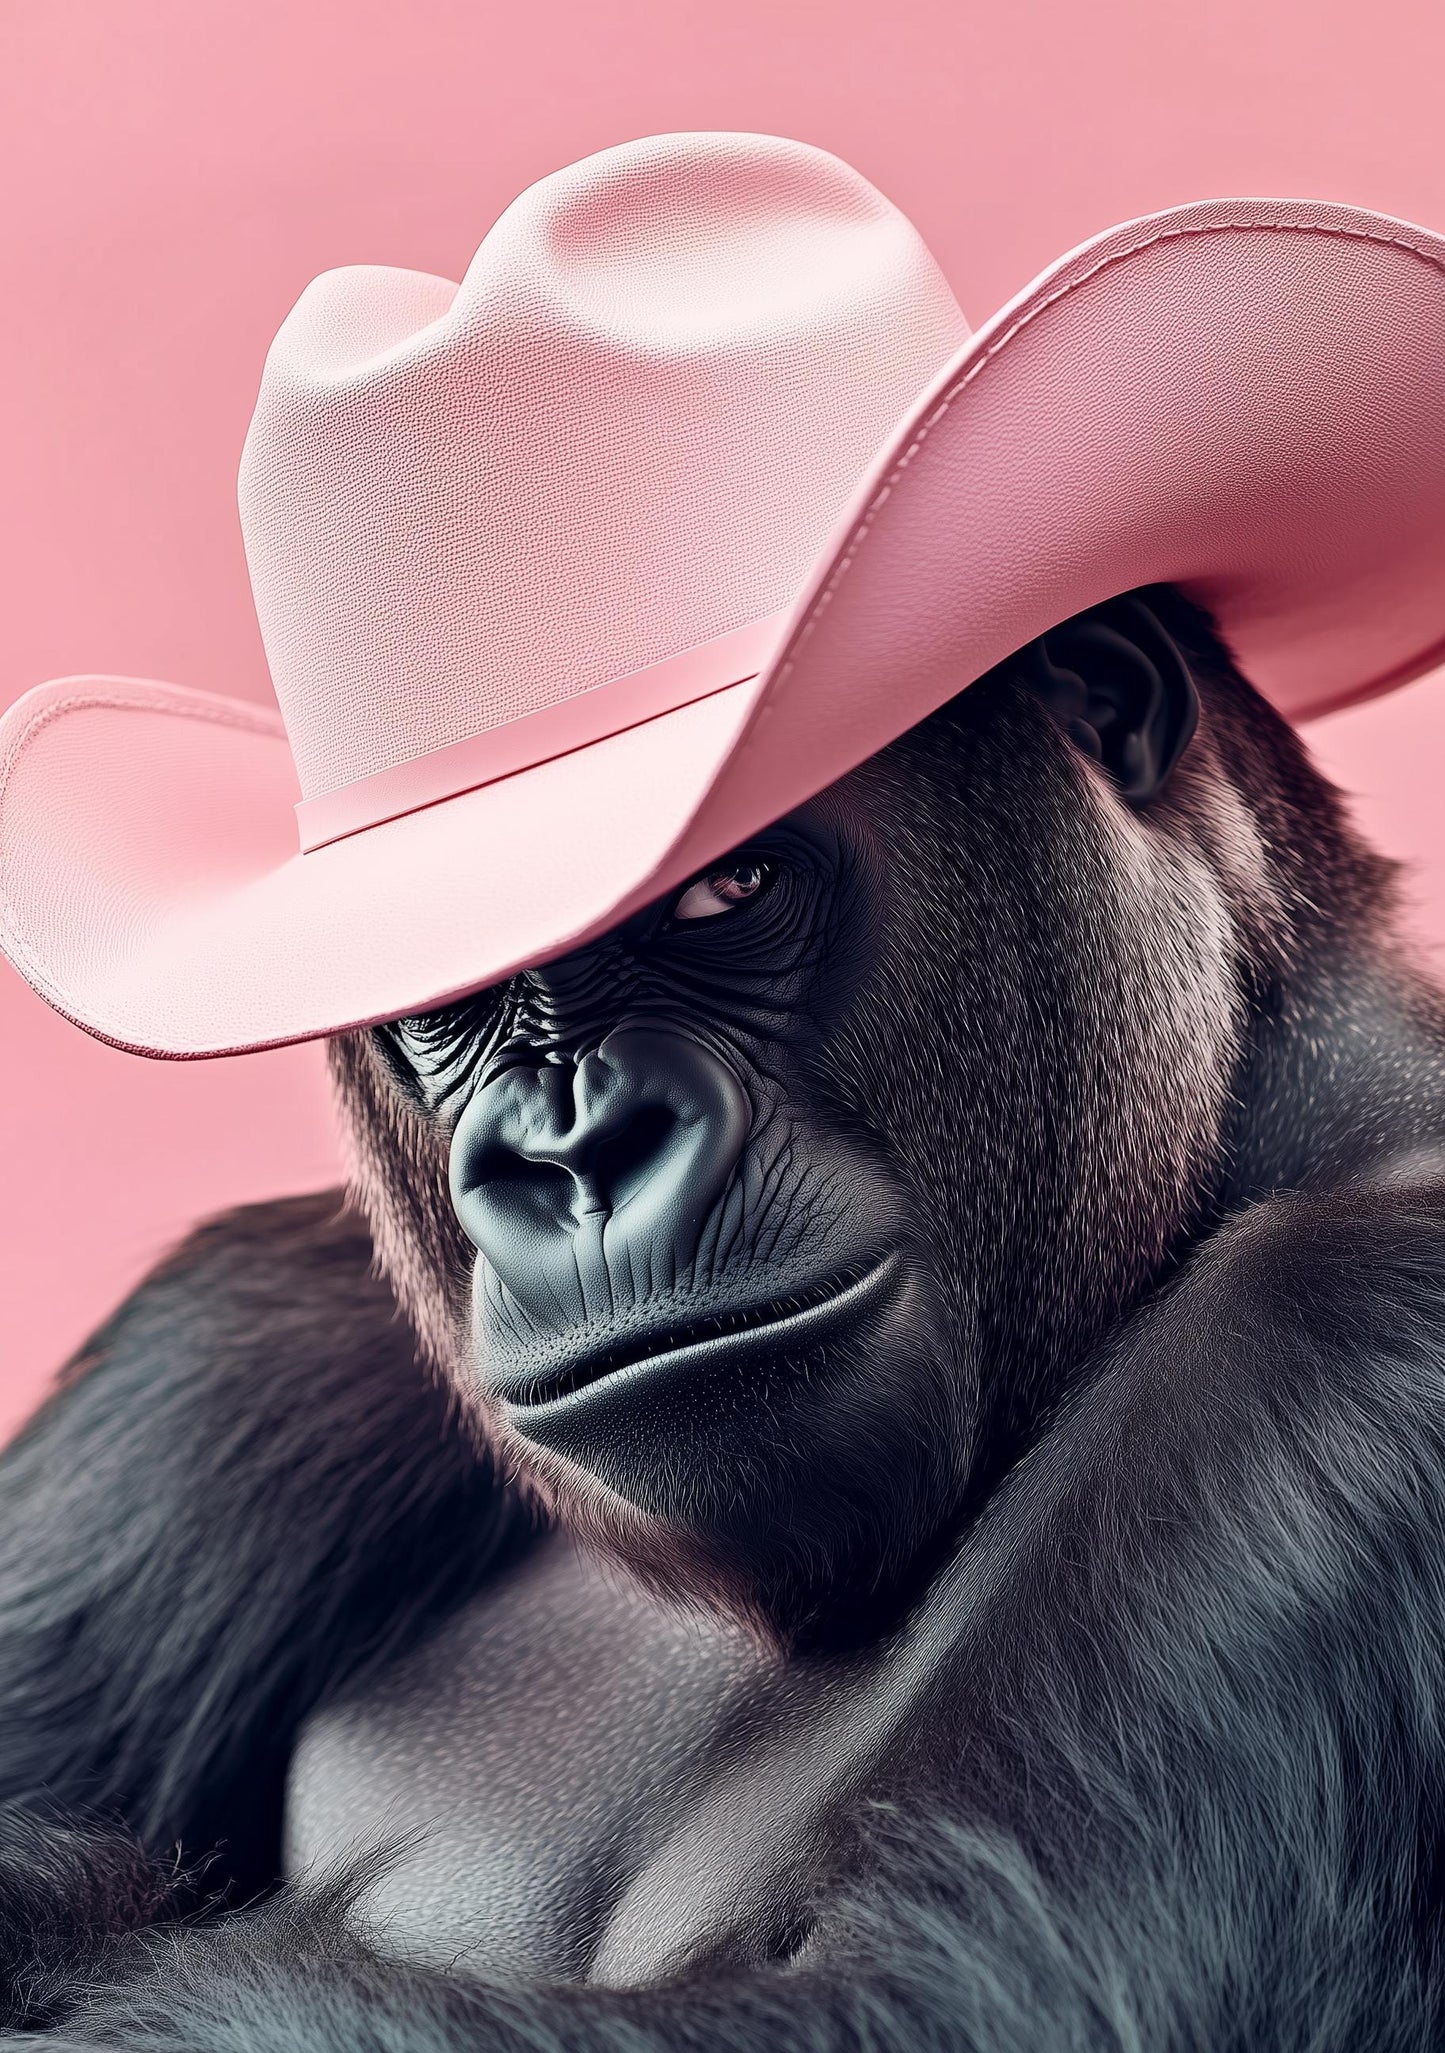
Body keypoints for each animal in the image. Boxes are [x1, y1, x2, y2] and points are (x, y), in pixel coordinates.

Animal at [3, 582, 1445, 2050]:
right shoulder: (230, 1354)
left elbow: (919, 2004)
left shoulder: (1361, 1334)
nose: (575, 1155)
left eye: (729, 887)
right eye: (445, 1001)